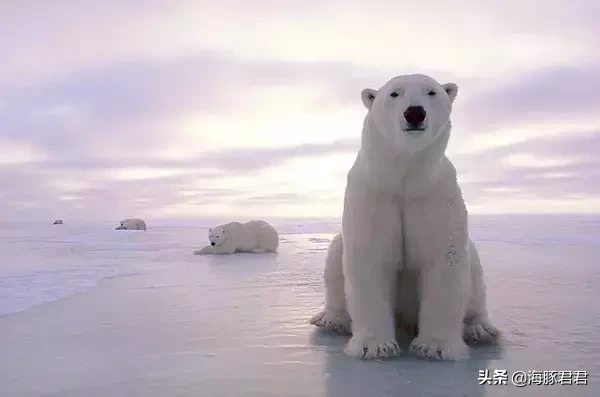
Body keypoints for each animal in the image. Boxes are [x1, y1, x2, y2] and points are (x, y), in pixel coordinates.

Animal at [308, 72, 500, 360]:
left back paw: (479, 329)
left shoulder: (434, 197)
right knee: (335, 253)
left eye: (431, 92)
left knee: (474, 269)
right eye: (394, 93)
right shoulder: (374, 196)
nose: (415, 113)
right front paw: (375, 346)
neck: (405, 181)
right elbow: (371, 259)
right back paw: (333, 320)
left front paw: (434, 347)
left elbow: (443, 259)